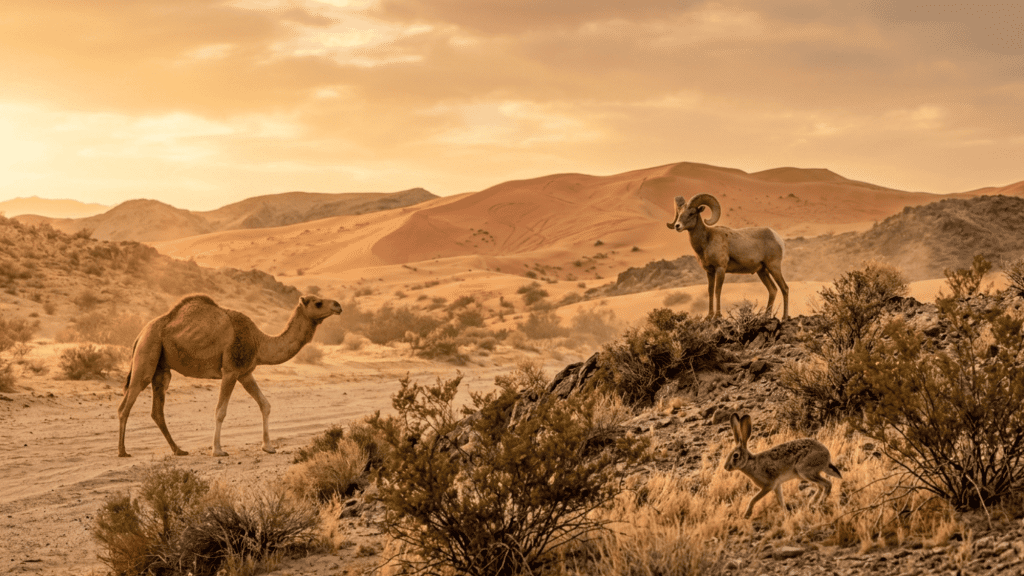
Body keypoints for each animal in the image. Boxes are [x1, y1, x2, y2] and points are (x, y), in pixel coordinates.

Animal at [117, 293, 342, 457]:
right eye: (318, 303)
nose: (338, 305)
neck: (259, 341)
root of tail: (140, 333)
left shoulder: (245, 373)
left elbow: (265, 404)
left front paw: (268, 447)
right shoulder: (230, 371)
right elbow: (220, 411)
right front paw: (218, 450)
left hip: (162, 367)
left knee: (157, 409)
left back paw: (178, 450)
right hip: (148, 351)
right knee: (126, 403)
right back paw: (122, 451)